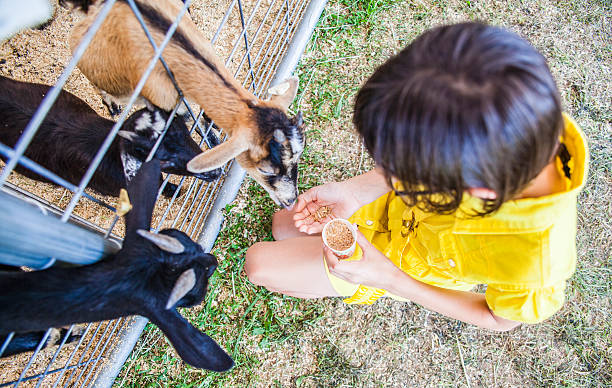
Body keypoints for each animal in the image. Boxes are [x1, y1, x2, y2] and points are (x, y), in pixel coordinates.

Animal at [68, 0, 304, 209]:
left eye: (299, 155)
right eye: (266, 170)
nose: (291, 201)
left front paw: (213, 132)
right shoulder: (163, 99)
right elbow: (189, 119)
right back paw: (112, 106)